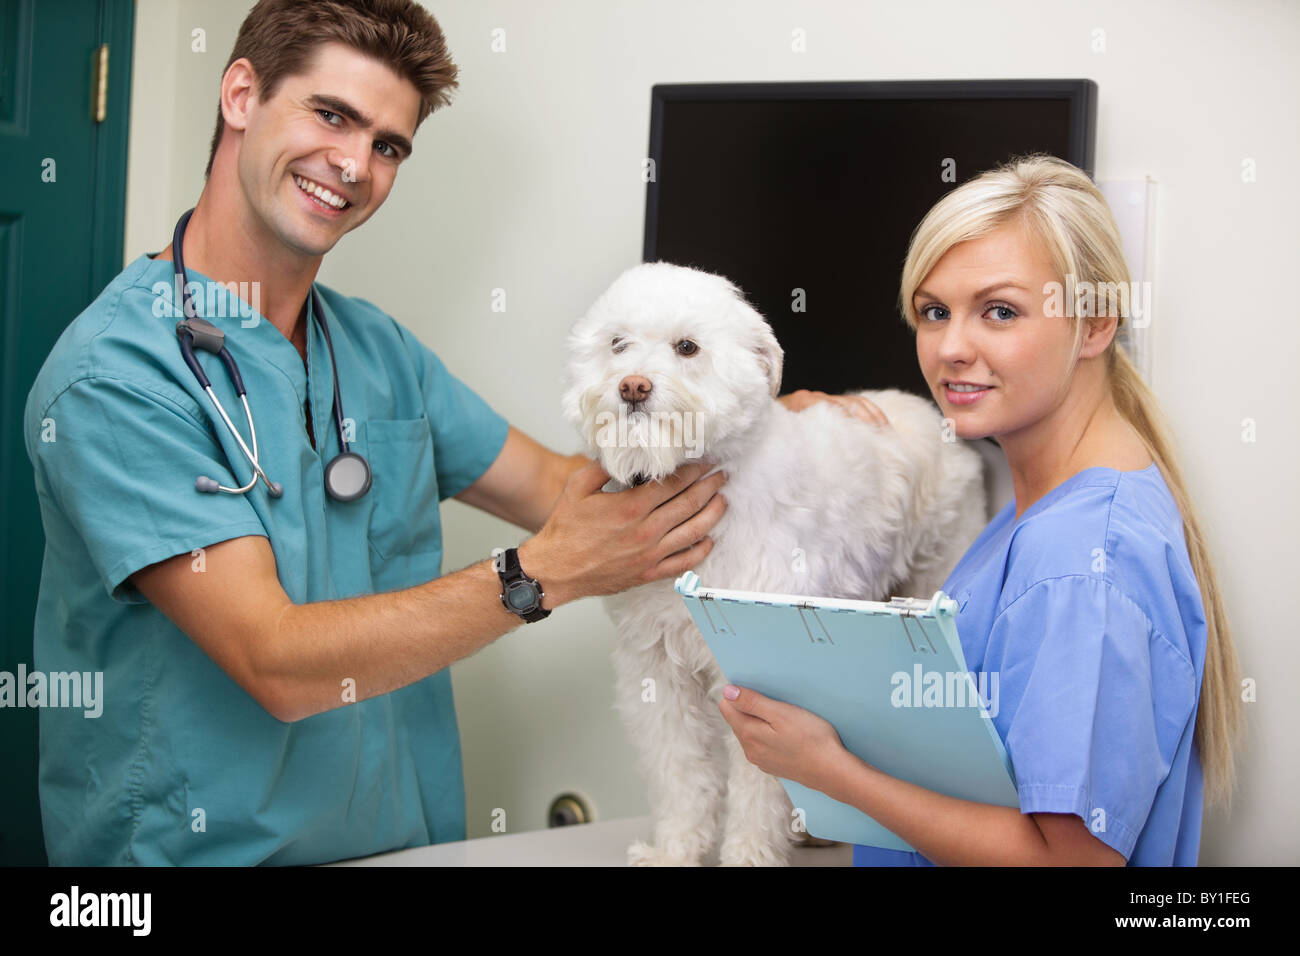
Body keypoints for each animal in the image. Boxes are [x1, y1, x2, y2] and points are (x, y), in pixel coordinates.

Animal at [561, 261, 982, 868]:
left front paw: (748, 855)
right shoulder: (657, 671)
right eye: (617, 344)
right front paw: (676, 850)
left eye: (687, 347)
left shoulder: (761, 672)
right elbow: (680, 773)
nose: (632, 386)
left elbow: (759, 785)